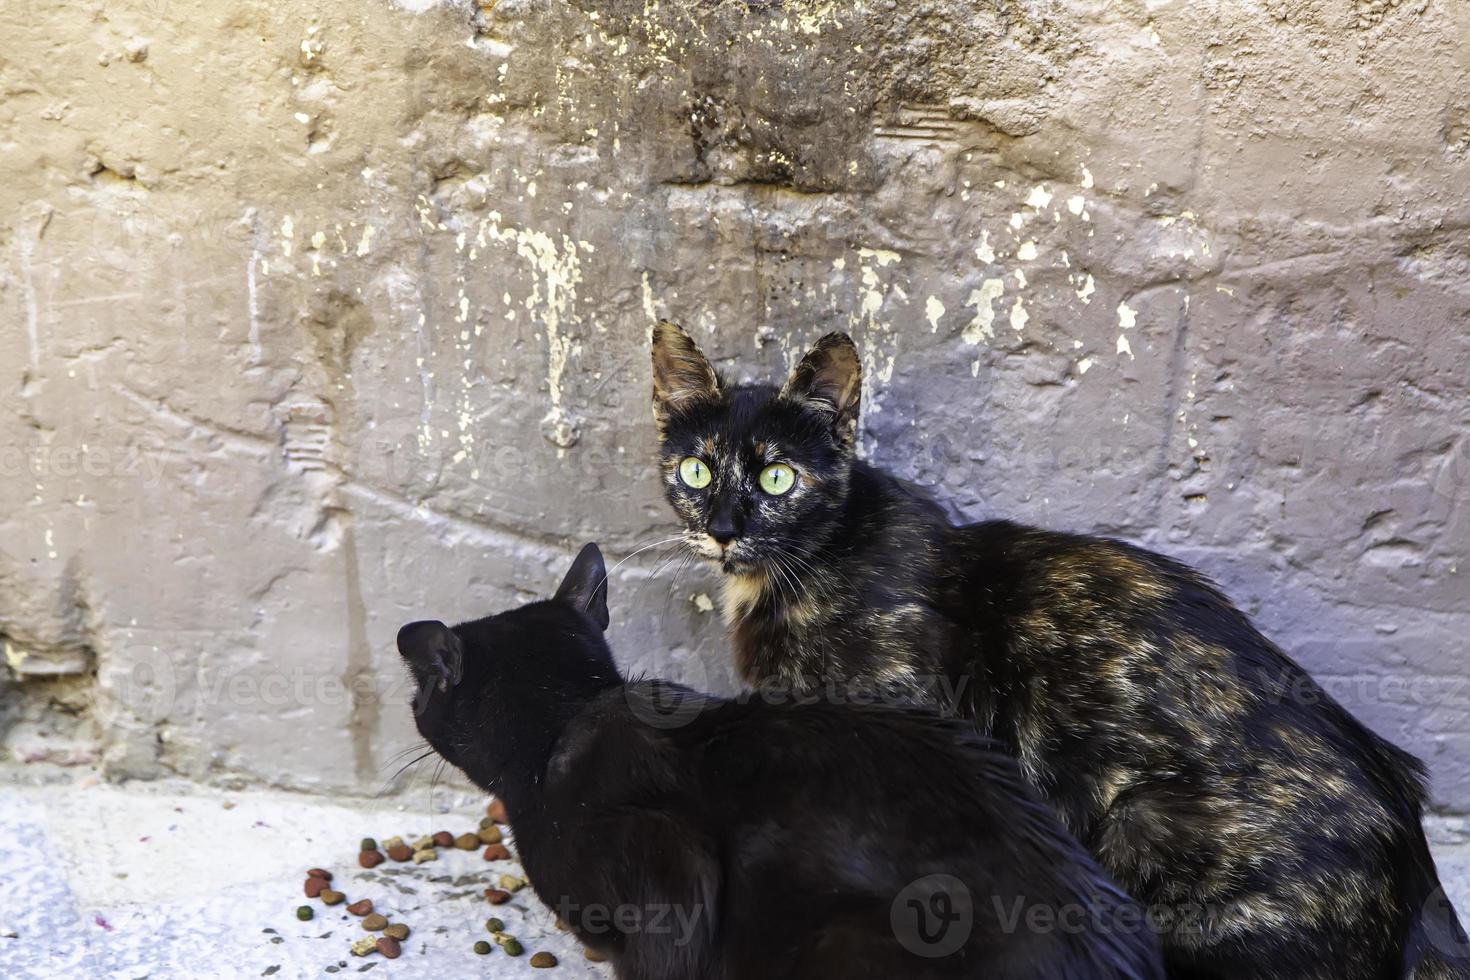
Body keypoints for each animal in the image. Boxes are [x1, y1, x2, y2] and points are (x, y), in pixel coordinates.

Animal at [652, 323, 1470, 980]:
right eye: (696, 469)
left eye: (777, 477)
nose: (722, 529)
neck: (799, 570)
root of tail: (1417, 854)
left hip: (1148, 828)